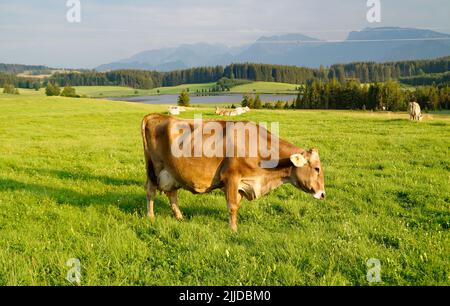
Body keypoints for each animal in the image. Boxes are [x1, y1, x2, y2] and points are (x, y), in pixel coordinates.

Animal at [142, 115, 326, 232]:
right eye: (317, 168)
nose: (323, 194)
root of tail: (156, 116)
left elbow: (236, 205)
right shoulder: (231, 177)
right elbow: (232, 206)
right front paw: (233, 230)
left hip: (172, 173)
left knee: (172, 194)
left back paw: (180, 217)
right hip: (154, 169)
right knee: (151, 191)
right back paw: (150, 217)